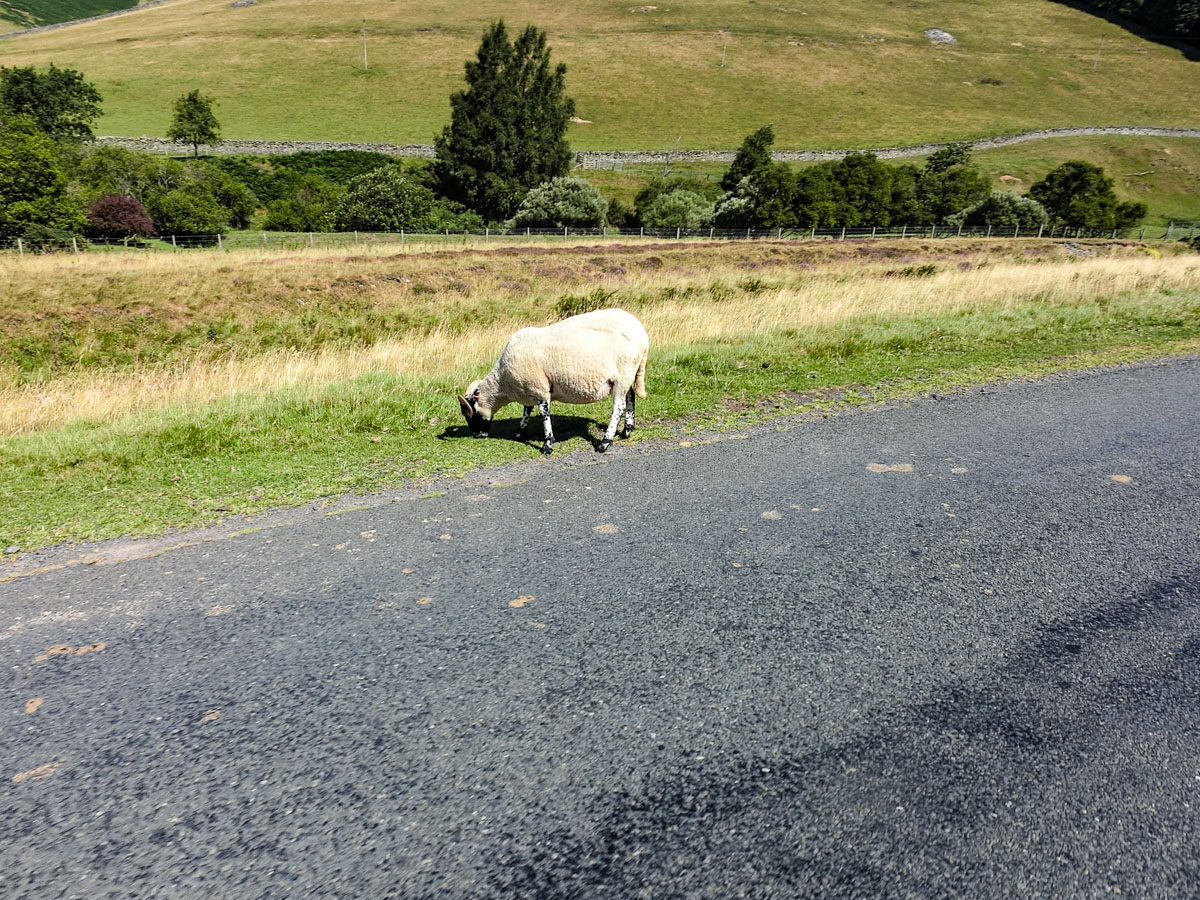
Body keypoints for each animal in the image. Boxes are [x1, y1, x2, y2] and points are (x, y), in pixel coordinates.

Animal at [456, 309, 648, 458]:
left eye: (470, 412)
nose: (477, 435)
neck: (503, 382)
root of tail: (642, 336)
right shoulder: (530, 388)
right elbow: (526, 411)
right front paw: (519, 432)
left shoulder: (540, 388)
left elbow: (543, 413)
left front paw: (548, 444)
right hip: (627, 375)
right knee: (630, 396)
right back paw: (627, 430)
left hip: (622, 375)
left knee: (618, 407)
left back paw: (605, 442)